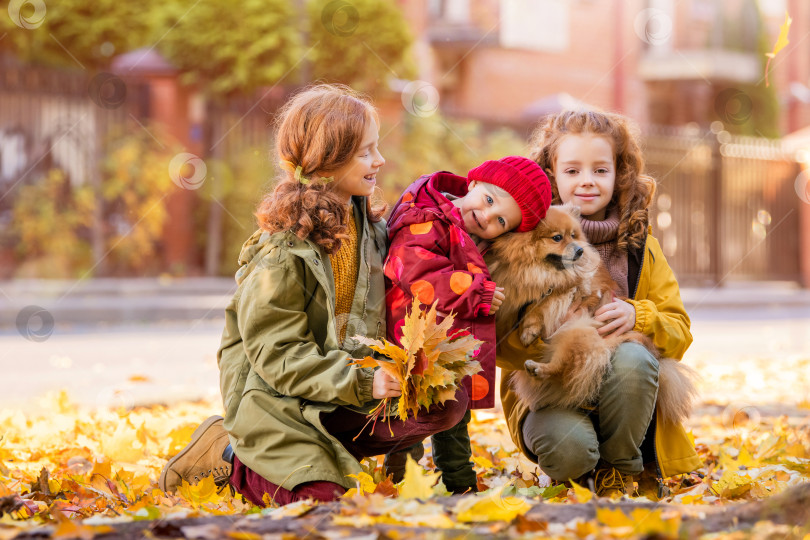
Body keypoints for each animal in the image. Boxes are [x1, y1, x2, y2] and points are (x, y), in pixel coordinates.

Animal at [482, 202, 696, 426]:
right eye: (557, 238)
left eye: (573, 235)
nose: (579, 250)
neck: (539, 270)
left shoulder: (576, 290)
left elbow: (542, 304)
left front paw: (528, 331)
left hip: (577, 331)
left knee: (563, 365)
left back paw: (540, 368)